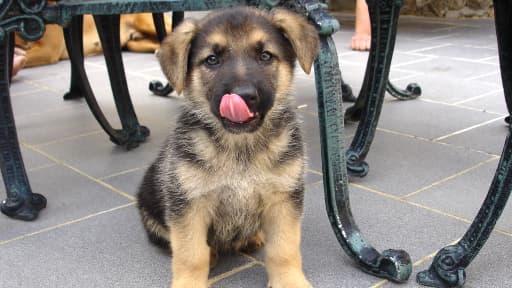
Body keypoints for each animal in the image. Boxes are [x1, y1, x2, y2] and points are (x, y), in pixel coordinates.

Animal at [138, 7, 318, 288]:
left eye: (265, 56)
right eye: (212, 60)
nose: (243, 96)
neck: (241, 147)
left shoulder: (284, 199)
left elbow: (283, 249)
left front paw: (289, 281)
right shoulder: (188, 205)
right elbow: (191, 254)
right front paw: (189, 282)